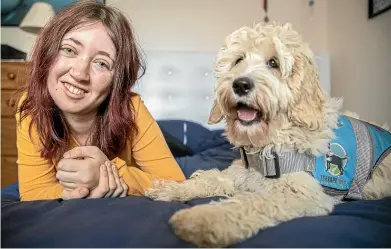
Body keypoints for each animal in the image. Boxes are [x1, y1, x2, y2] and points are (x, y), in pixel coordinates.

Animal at [145, 22, 391, 248]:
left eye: (274, 63)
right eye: (238, 60)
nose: (241, 84)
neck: (270, 142)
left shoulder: (300, 193)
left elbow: (248, 203)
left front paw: (201, 220)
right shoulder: (241, 174)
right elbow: (210, 178)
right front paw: (172, 188)